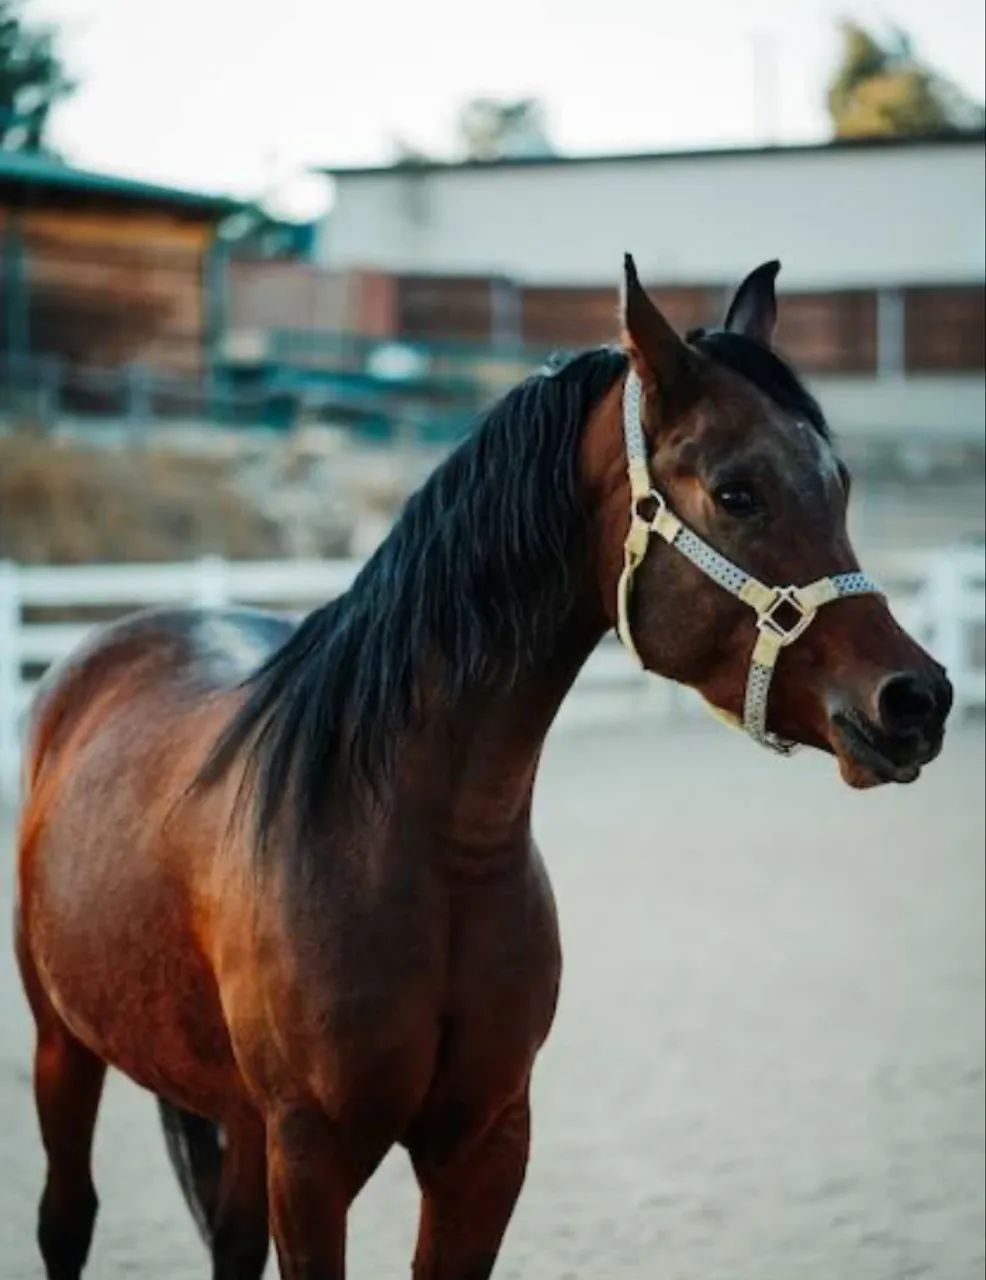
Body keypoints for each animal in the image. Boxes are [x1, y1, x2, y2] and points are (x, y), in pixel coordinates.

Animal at [15, 256, 951, 1280]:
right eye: (738, 492)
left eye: (840, 484)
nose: (917, 699)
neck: (412, 845)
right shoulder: (312, 1158)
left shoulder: (485, 1145)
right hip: (64, 1046)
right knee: (67, 1216)